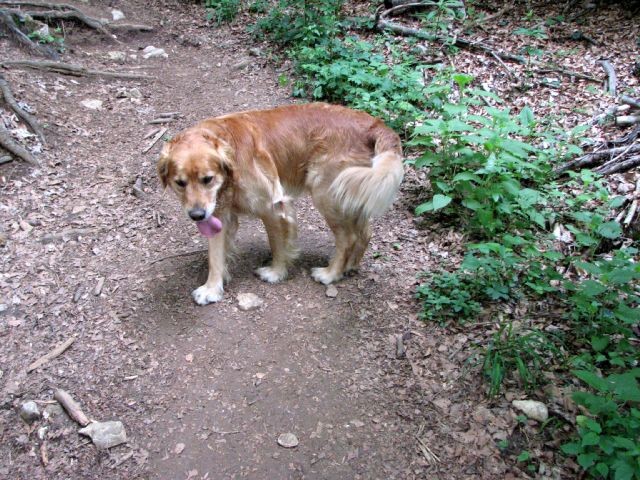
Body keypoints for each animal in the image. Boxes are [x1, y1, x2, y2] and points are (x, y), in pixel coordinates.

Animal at [158, 103, 402, 306]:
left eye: (207, 179)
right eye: (180, 183)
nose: (197, 215)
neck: (231, 167)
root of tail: (374, 123)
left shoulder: (273, 206)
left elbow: (277, 244)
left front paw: (276, 272)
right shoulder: (218, 213)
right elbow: (215, 255)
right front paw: (212, 288)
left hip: (327, 193)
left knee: (348, 237)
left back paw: (330, 273)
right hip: (351, 193)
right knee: (365, 232)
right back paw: (349, 266)